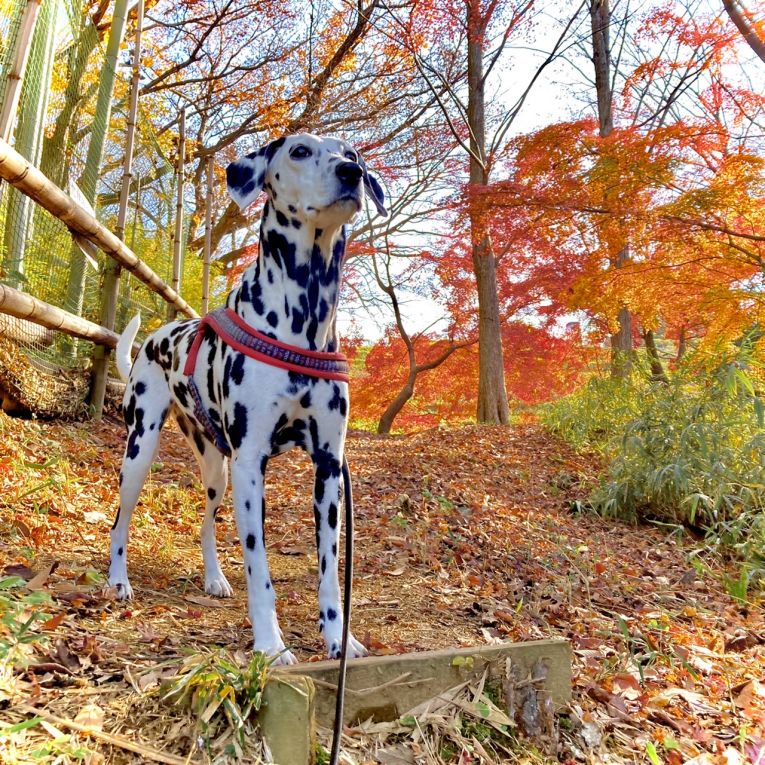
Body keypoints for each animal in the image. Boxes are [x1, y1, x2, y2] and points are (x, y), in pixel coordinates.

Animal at [107, 133, 388, 664]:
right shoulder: (252, 464)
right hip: (142, 451)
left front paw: (339, 638)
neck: (303, 320)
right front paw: (271, 646)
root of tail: (156, 338)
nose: (351, 173)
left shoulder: (329, 469)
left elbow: (329, 571)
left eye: (352, 154)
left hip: (218, 470)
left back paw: (215, 578)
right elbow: (260, 571)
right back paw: (117, 581)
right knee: (120, 521)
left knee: (205, 522)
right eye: (299, 151)